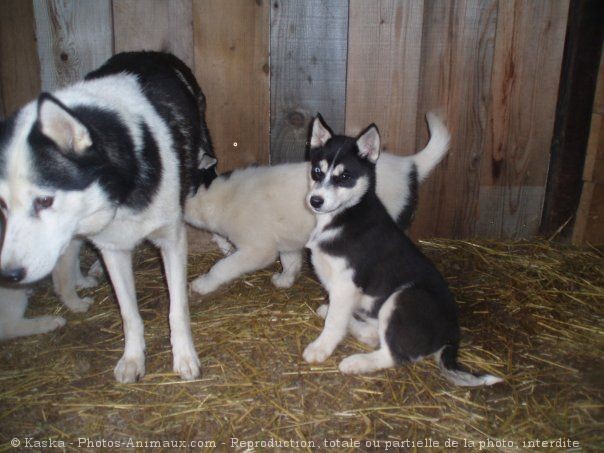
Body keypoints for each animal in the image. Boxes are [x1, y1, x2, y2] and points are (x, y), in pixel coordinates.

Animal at [0, 51, 216, 380]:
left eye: (44, 200)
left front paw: (184, 357)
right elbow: (128, 313)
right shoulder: (112, 249)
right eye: (3, 205)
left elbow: (177, 310)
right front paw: (132, 358)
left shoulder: (172, 240)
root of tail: (153, 53)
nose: (9, 275)